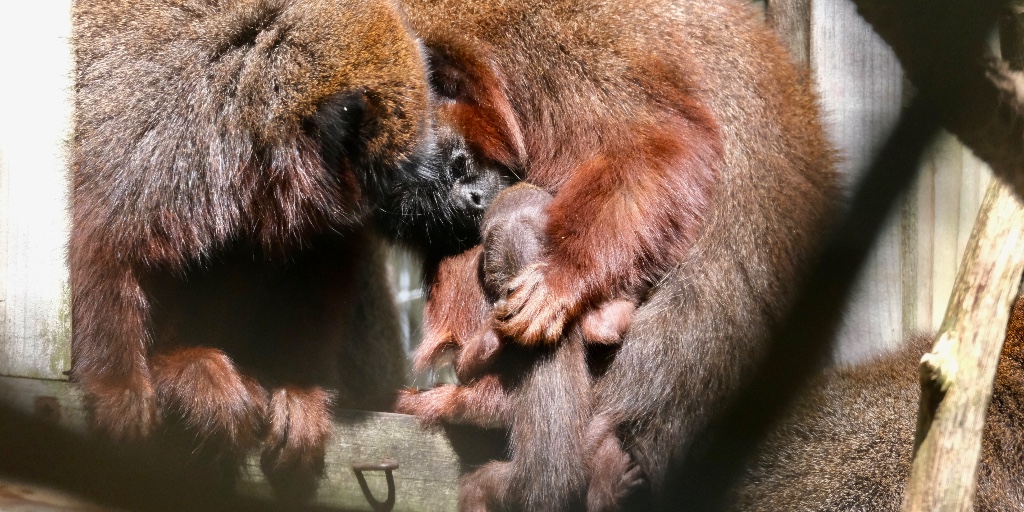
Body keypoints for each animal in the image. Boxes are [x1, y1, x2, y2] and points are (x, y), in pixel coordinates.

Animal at [71, 0, 428, 499]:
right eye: (379, 173)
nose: (393, 199)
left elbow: (319, 262)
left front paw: (299, 387)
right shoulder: (164, 127)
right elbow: (106, 236)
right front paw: (117, 385)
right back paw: (178, 368)